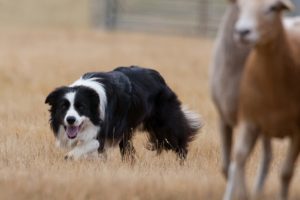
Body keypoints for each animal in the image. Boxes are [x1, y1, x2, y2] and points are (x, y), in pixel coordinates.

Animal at [45, 66, 203, 162]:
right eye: (63, 107)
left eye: (81, 107)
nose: (71, 119)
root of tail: (158, 76)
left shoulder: (104, 129)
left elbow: (92, 143)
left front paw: (71, 156)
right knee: (127, 148)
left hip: (164, 125)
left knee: (178, 139)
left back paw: (181, 162)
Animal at [224, 0, 300, 200]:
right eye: (240, 6)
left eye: (272, 7)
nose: (242, 32)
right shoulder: (249, 121)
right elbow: (239, 158)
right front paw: (242, 194)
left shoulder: (298, 131)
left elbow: (286, 173)